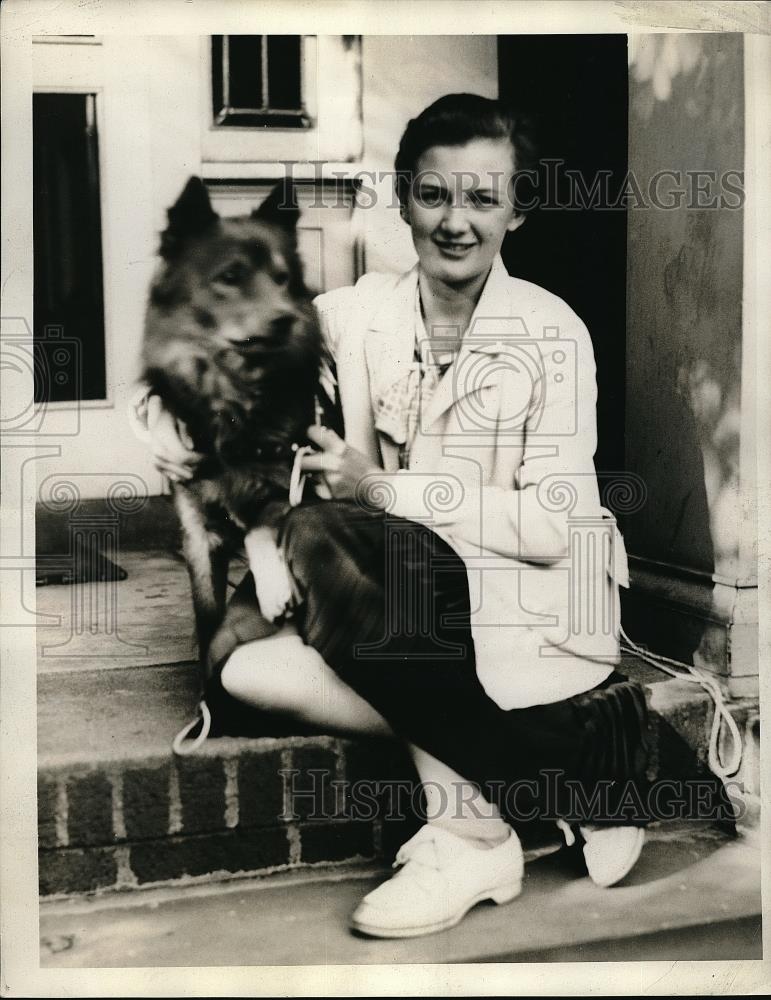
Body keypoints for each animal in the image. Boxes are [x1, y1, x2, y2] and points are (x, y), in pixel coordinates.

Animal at [142, 178, 334, 680]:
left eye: (282, 279)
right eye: (230, 277)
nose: (286, 317)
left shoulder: (297, 485)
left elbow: (260, 521)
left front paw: (274, 587)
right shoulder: (197, 535)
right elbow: (208, 617)